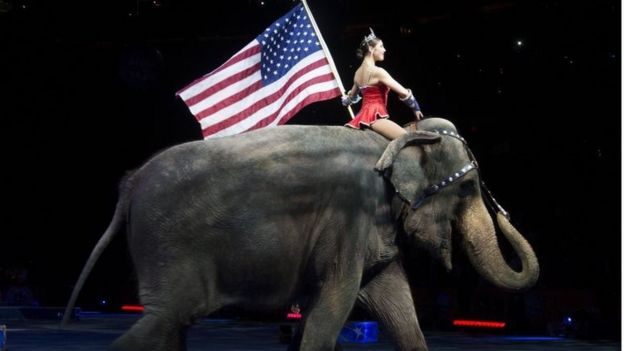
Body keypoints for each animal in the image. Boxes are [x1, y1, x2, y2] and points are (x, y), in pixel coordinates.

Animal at [64, 117, 540, 350]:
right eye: (468, 188)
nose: (505, 212)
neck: (398, 137)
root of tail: (130, 183)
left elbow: (400, 312)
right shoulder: (350, 217)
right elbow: (331, 312)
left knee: (168, 326)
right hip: (167, 248)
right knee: (161, 321)